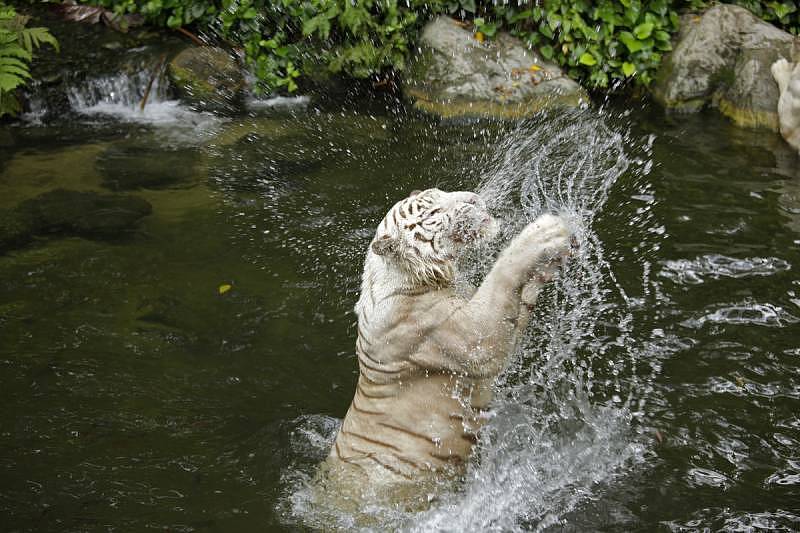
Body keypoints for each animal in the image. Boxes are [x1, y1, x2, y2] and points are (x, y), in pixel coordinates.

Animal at [318, 188, 574, 508]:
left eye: (441, 192)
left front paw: (548, 265)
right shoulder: (470, 337)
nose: (474, 199)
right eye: (433, 212)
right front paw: (544, 232)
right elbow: (500, 281)